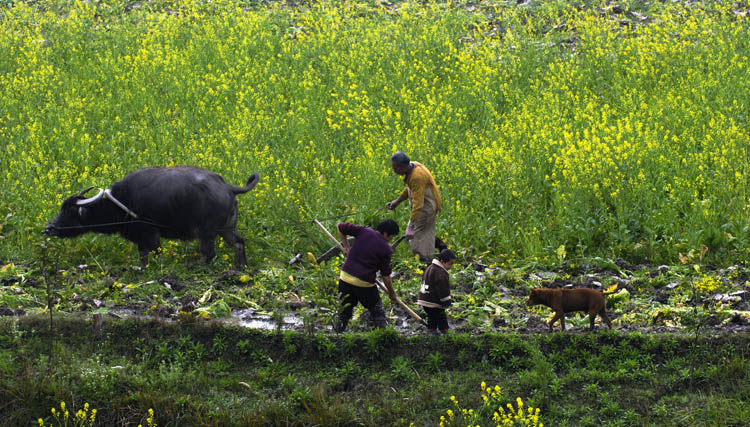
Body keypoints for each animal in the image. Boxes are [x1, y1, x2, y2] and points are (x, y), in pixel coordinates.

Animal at [44, 167, 262, 268]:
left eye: (69, 211)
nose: (49, 228)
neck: (123, 201)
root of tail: (227, 187)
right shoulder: (141, 238)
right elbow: (143, 256)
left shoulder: (151, 233)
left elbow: (156, 254)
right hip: (227, 228)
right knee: (239, 243)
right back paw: (240, 266)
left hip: (207, 232)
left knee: (208, 254)